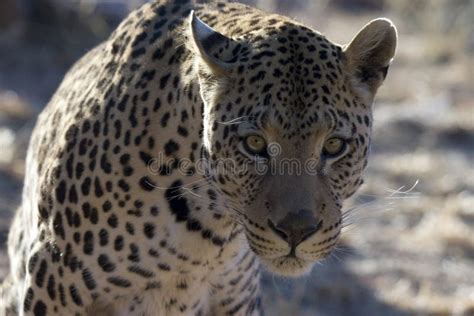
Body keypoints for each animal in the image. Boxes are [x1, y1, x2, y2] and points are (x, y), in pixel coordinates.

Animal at [0, 1, 396, 314]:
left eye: (334, 146)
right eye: (254, 143)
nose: (297, 232)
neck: (207, 232)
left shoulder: (235, 299)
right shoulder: (52, 282)